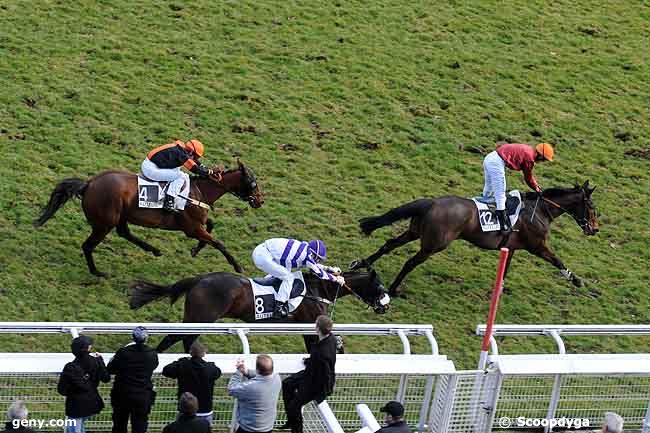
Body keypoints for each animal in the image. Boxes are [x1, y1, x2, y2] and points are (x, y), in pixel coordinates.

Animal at [33, 159, 264, 276]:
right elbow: (218, 242)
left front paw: (195, 249)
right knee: (88, 246)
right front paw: (237, 266)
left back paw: (153, 249)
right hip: (104, 223)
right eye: (253, 183)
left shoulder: (196, 224)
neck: (198, 191)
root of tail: (89, 184)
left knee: (124, 233)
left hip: (119, 216)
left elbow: (211, 226)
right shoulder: (191, 228)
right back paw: (97, 272)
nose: (260, 201)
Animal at [129, 268, 388, 352]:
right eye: (379, 286)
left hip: (197, 319)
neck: (318, 288)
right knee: (172, 339)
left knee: (184, 340)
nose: (386, 306)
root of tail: (199, 279)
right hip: (200, 317)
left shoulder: (307, 328)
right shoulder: (310, 324)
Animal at [352, 181, 596, 296]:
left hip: (416, 232)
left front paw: (497, 292)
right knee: (410, 262)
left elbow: (505, 271)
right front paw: (577, 280)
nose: (594, 229)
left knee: (389, 244)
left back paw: (361, 263)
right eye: (592, 207)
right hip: (434, 244)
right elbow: (558, 261)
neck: (540, 211)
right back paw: (393, 289)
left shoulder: (511, 248)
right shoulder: (537, 246)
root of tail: (431, 202)